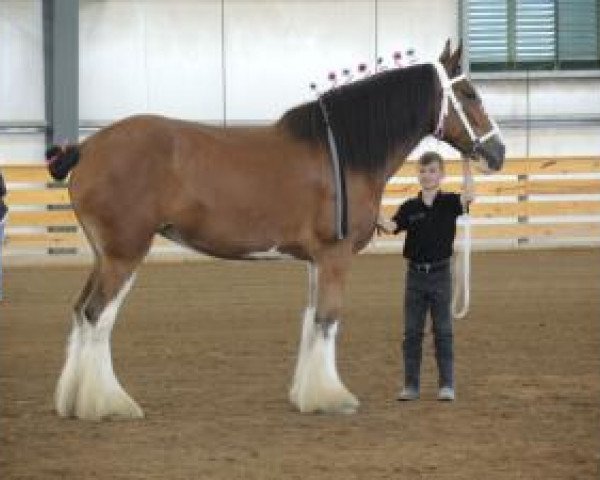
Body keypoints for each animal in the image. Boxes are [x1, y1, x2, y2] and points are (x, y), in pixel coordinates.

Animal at [49, 40, 504, 420]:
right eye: (469, 94)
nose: (497, 153)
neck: (344, 152)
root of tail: (85, 148)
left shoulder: (316, 261)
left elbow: (311, 321)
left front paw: (306, 394)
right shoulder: (335, 257)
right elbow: (328, 320)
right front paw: (332, 398)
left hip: (103, 256)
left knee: (80, 312)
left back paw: (73, 402)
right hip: (124, 255)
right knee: (97, 317)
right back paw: (107, 404)